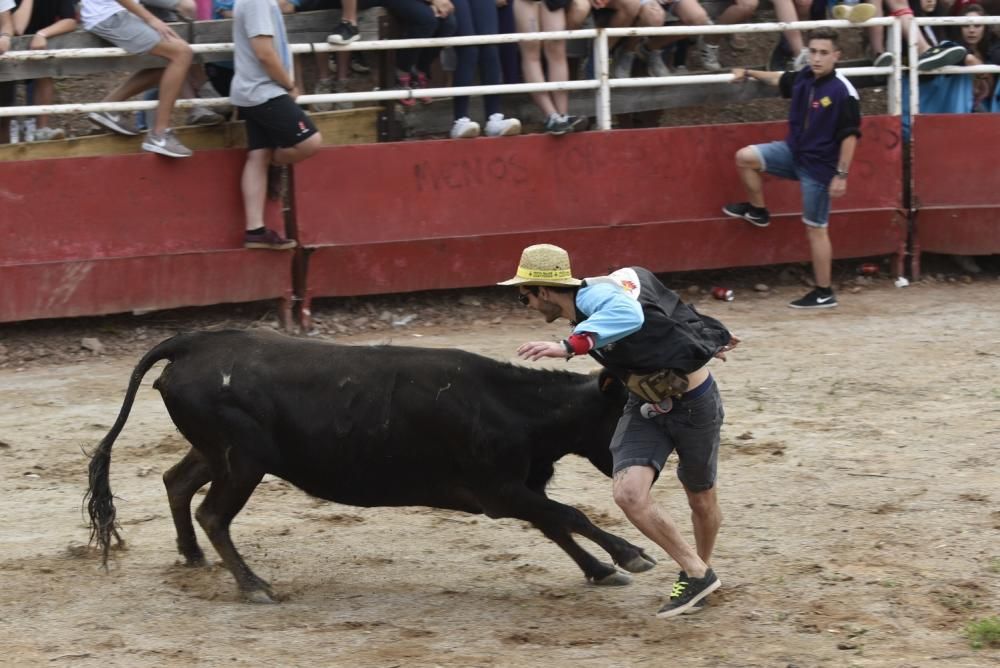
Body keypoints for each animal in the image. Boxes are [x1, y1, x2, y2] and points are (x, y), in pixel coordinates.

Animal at [88, 328, 656, 600]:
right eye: (628, 412)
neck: (516, 409)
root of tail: (192, 342)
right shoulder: (499, 491)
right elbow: (570, 516)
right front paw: (631, 555)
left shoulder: (519, 490)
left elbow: (556, 524)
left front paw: (601, 570)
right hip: (243, 459)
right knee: (213, 514)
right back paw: (254, 586)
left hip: (218, 453)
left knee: (177, 482)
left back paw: (192, 555)